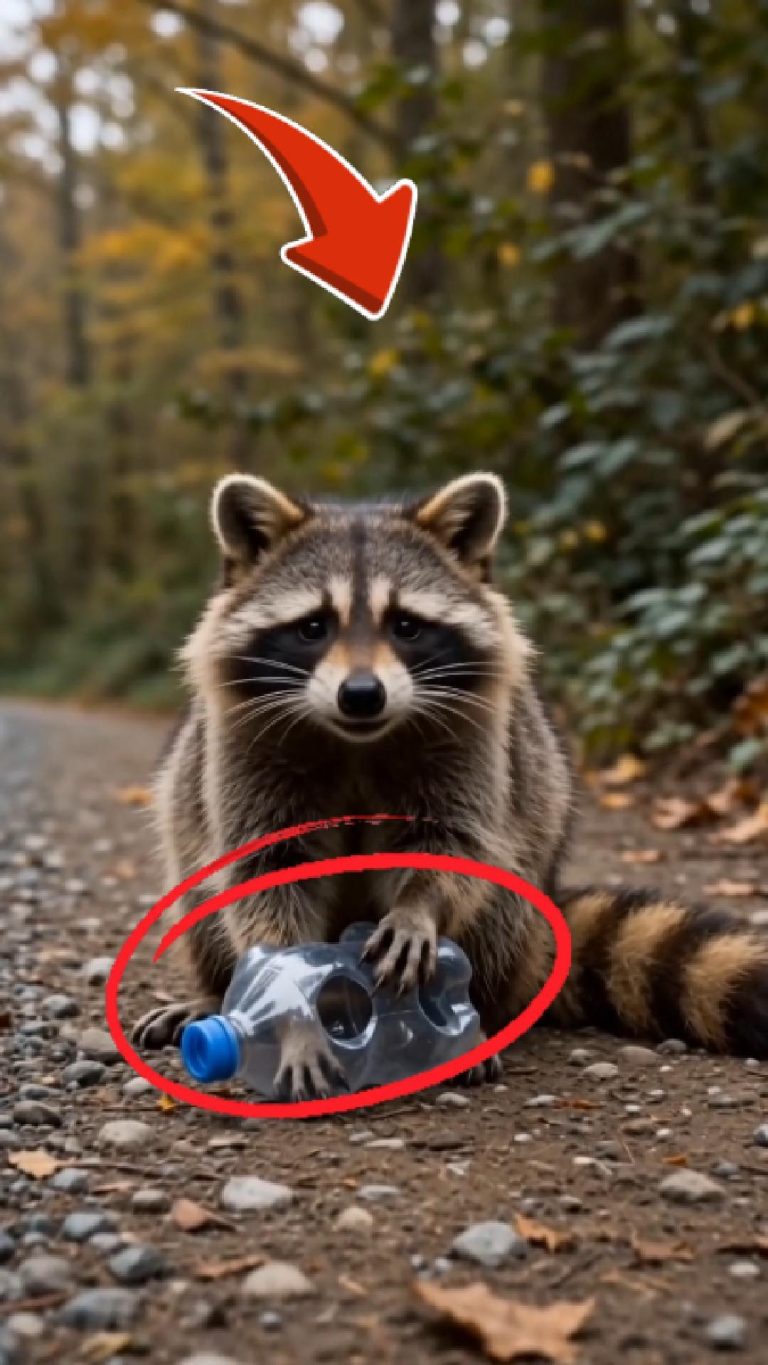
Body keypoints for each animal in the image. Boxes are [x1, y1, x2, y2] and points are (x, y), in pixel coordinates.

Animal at [133, 472, 768, 1098]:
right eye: (313, 627)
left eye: (406, 626)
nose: (361, 695)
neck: (358, 737)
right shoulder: (242, 748)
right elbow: (263, 873)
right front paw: (290, 1005)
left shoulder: (477, 740)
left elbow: (457, 843)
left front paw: (419, 907)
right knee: (199, 889)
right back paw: (216, 994)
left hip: (521, 899)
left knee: (501, 897)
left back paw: (469, 1020)